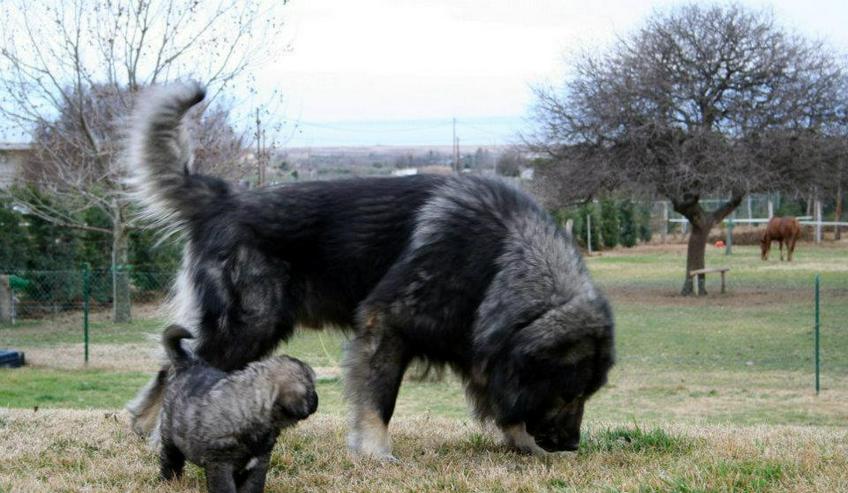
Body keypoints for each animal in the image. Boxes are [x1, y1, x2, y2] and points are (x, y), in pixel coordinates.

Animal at [126, 81, 612, 462]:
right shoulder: (387, 327)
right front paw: (376, 453)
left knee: (173, 365)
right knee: (186, 367)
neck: (499, 259)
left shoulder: (479, 346)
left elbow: (501, 402)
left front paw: (523, 445)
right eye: (568, 392)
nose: (571, 444)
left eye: (588, 394)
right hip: (249, 326)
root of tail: (222, 198)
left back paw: (144, 427)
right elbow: (380, 402)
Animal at [157, 322, 316, 492]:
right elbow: (225, 487)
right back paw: (169, 481)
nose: (316, 401)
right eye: (312, 389)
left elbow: (253, 485)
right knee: (170, 459)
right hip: (170, 435)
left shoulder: (258, 463)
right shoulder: (220, 463)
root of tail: (188, 364)